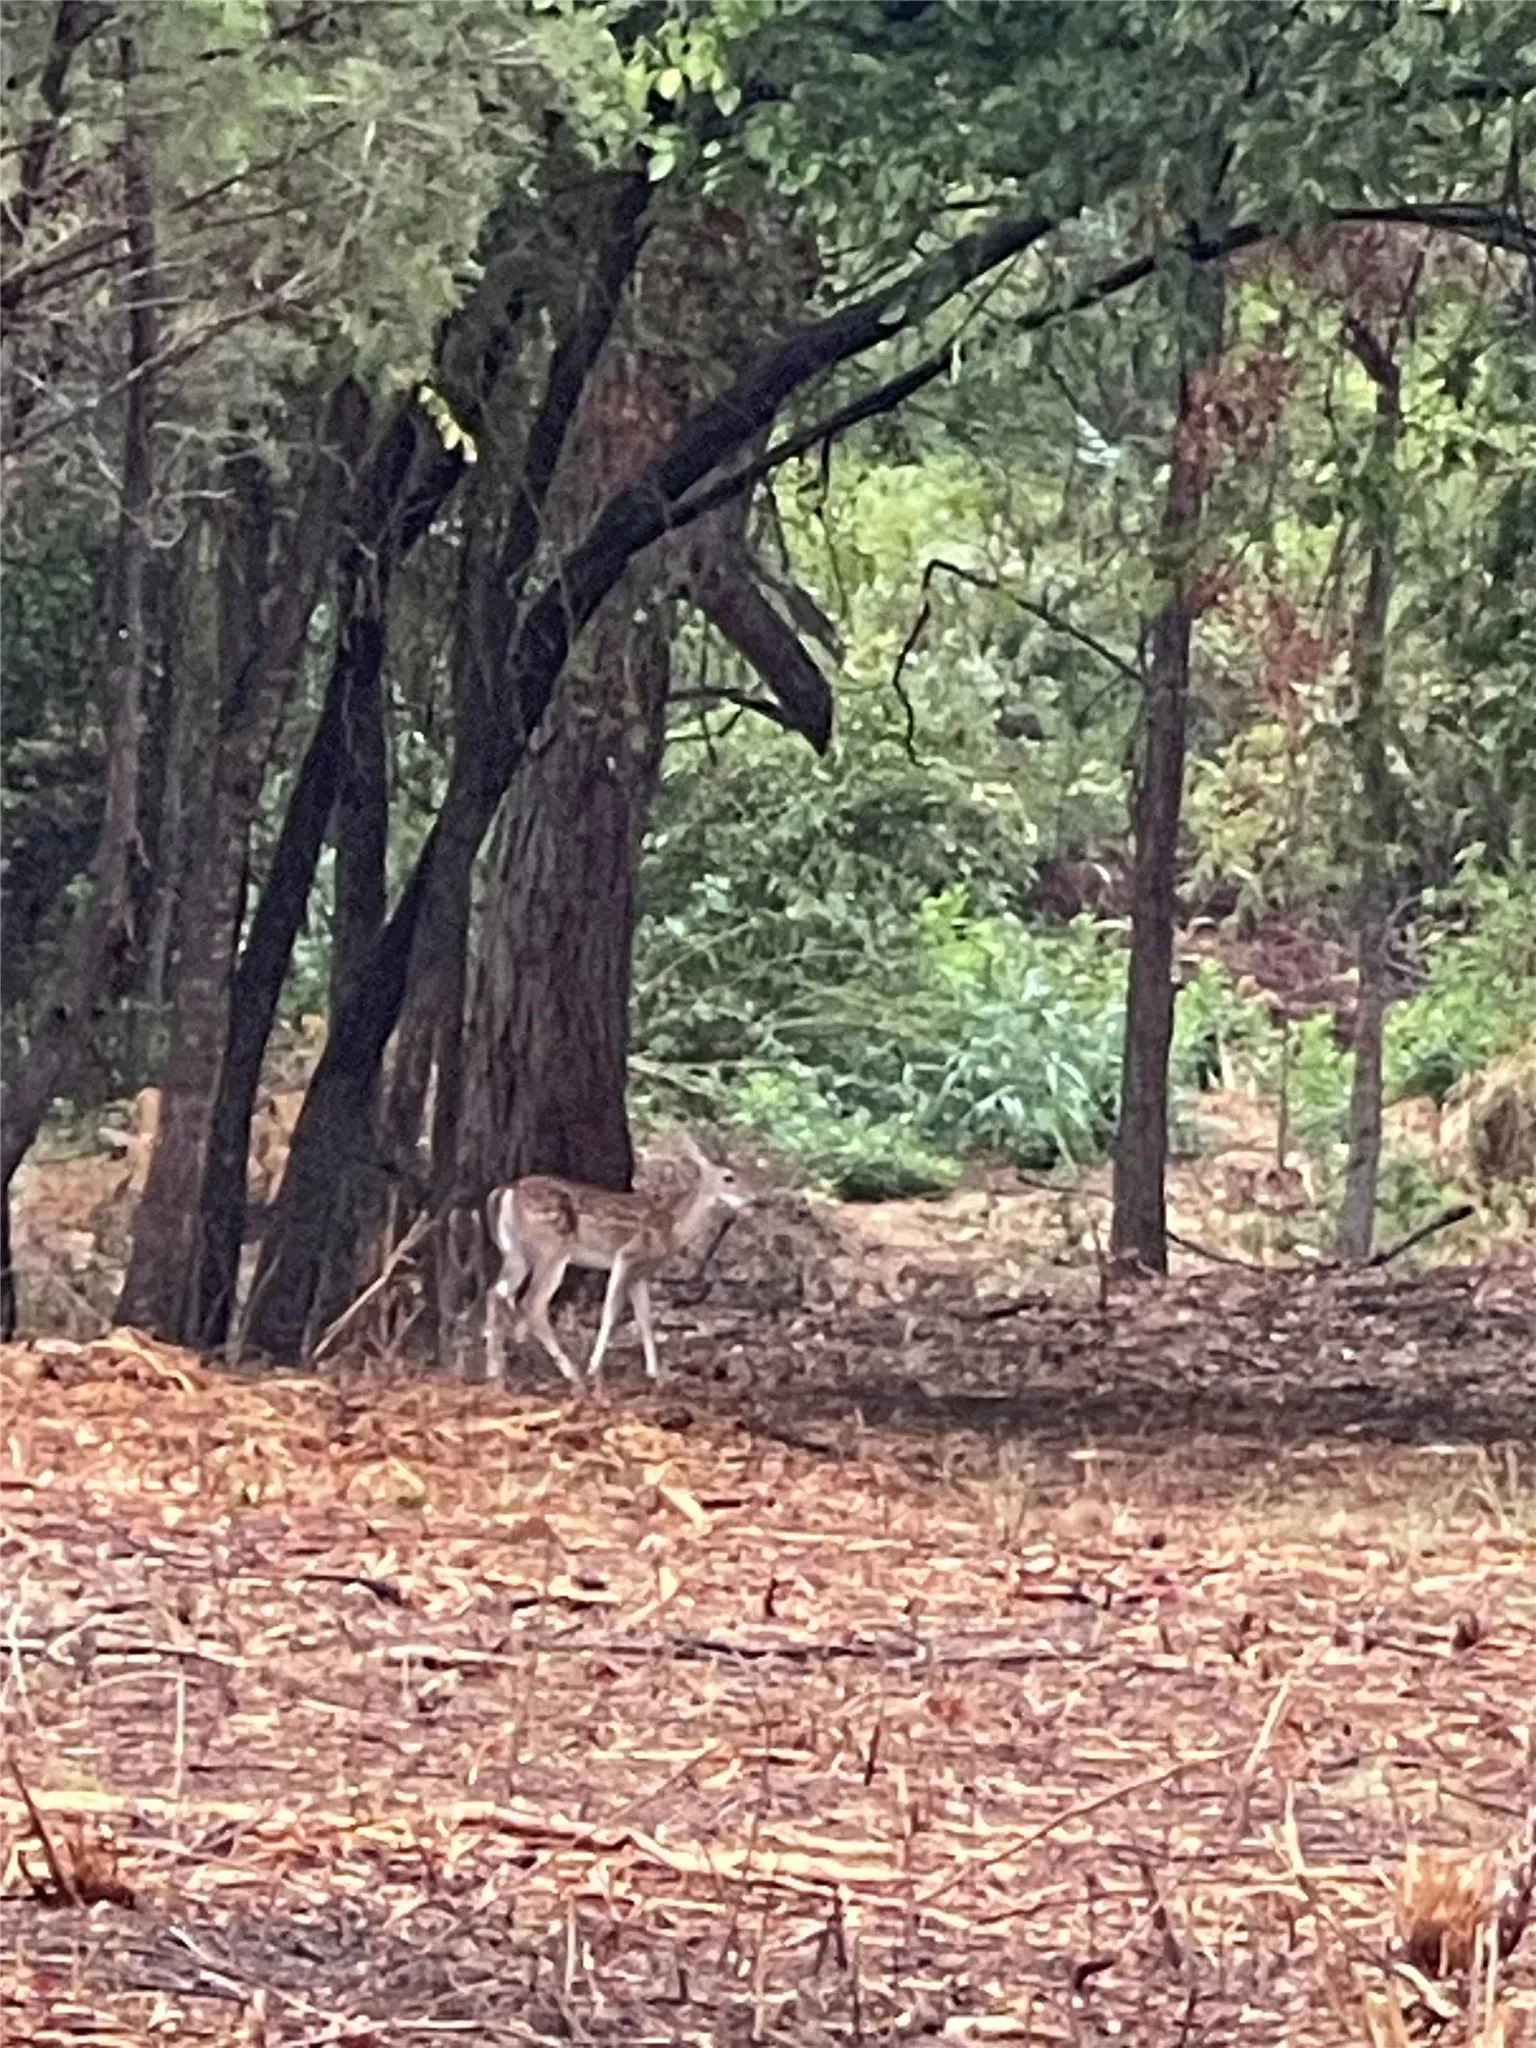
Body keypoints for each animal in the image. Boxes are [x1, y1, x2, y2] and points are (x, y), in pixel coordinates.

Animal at [484, 1136, 748, 1387]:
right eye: (729, 1177)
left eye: (745, 1172)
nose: (752, 1198)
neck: (673, 1226)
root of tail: (505, 1191)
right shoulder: (627, 1255)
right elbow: (611, 1311)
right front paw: (594, 1367)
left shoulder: (641, 1274)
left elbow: (644, 1317)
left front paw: (656, 1374)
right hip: (551, 1249)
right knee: (531, 1303)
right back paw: (572, 1374)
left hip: (514, 1252)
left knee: (496, 1292)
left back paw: (495, 1369)